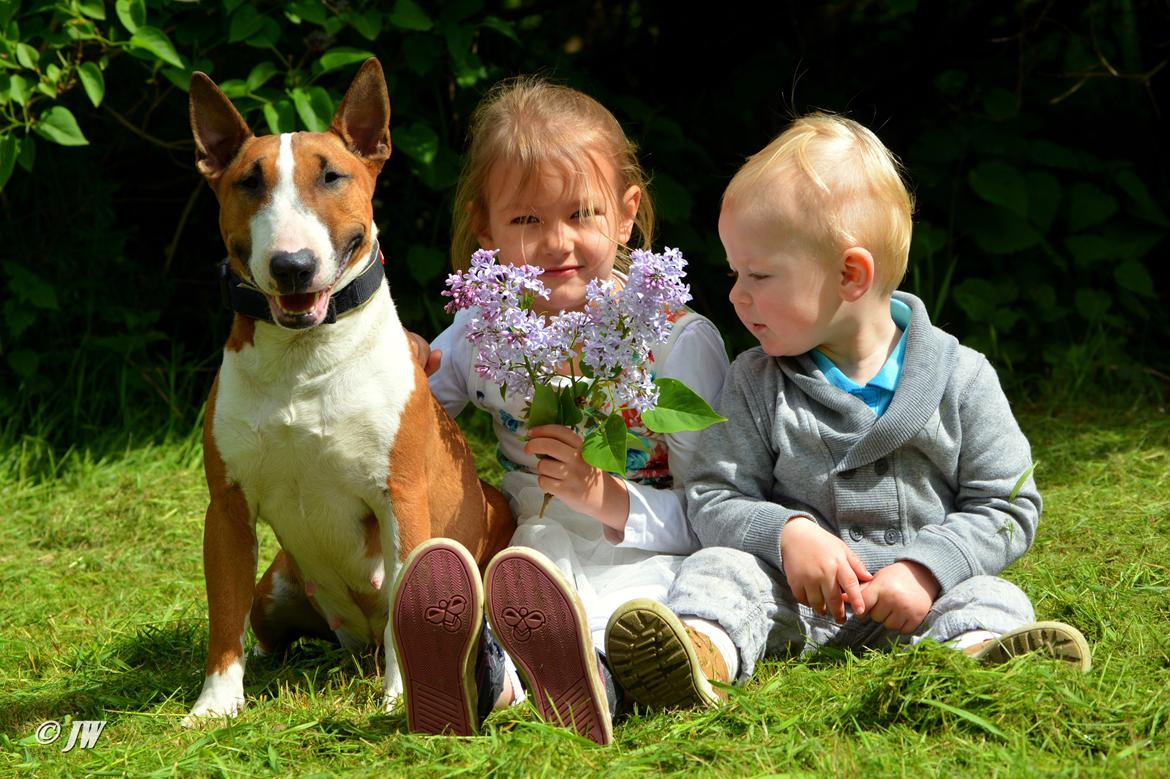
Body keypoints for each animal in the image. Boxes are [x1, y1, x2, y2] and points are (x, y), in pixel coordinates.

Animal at [183, 59, 512, 720]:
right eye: (248, 182)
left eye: (332, 175)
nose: (292, 267)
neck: (304, 359)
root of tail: (354, 639)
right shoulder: (227, 508)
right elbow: (223, 612)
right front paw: (216, 705)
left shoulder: (400, 496)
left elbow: (414, 602)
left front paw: (403, 697)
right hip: (277, 586)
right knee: (263, 625)